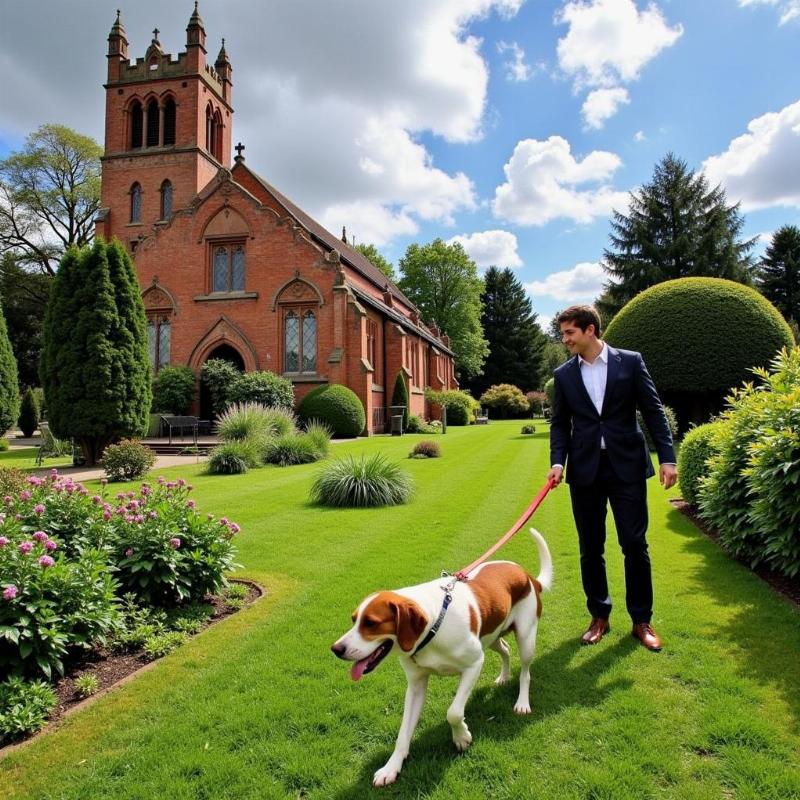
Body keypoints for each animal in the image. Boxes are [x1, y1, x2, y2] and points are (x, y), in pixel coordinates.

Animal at [330, 528, 552, 784]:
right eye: (354, 619)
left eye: (371, 623)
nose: (336, 649)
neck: (434, 625)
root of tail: (527, 575)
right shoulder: (416, 684)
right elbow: (403, 732)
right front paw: (391, 766)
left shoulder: (474, 664)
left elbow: (453, 712)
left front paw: (461, 736)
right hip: (492, 634)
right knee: (505, 649)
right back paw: (504, 676)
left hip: (526, 636)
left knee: (525, 671)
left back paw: (522, 702)